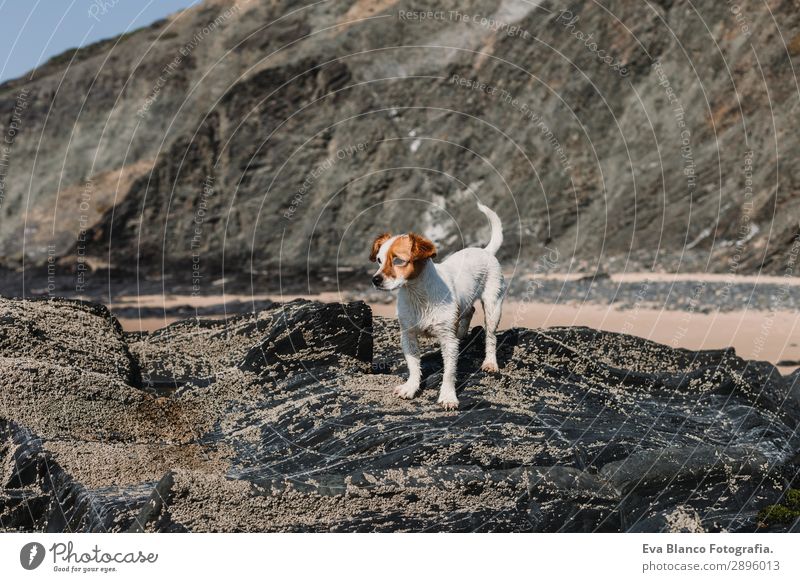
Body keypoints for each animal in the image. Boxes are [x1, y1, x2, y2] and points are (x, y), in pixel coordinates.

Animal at [370, 204, 506, 410]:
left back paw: (490, 362)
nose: (375, 280)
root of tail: (486, 251)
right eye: (379, 260)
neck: (417, 294)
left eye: (398, 260)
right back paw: (462, 333)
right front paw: (411, 387)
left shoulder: (448, 342)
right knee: (469, 311)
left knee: (491, 336)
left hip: (492, 306)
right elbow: (413, 366)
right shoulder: (408, 336)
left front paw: (448, 396)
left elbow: (449, 373)